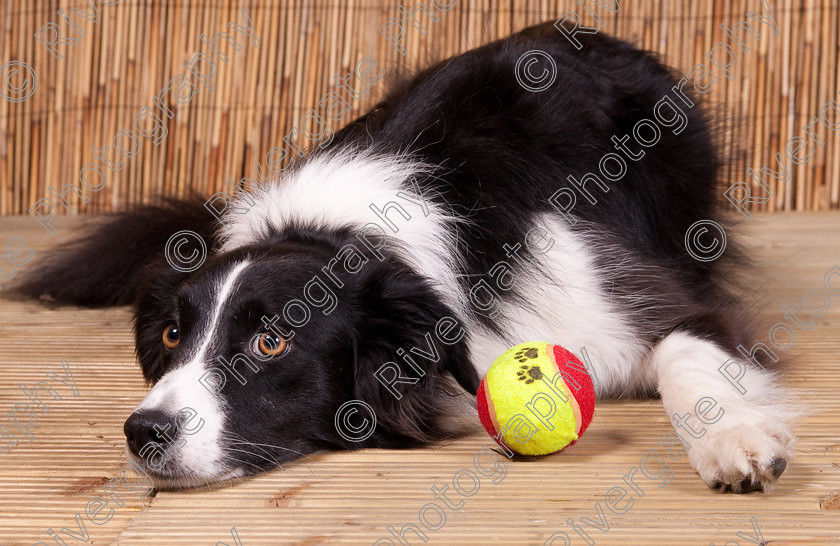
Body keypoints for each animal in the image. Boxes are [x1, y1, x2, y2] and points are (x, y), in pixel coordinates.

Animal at [19, 21, 796, 488]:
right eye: (173, 335)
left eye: (271, 342)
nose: (143, 432)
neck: (349, 239)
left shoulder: (626, 299)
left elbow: (684, 350)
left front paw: (734, 439)